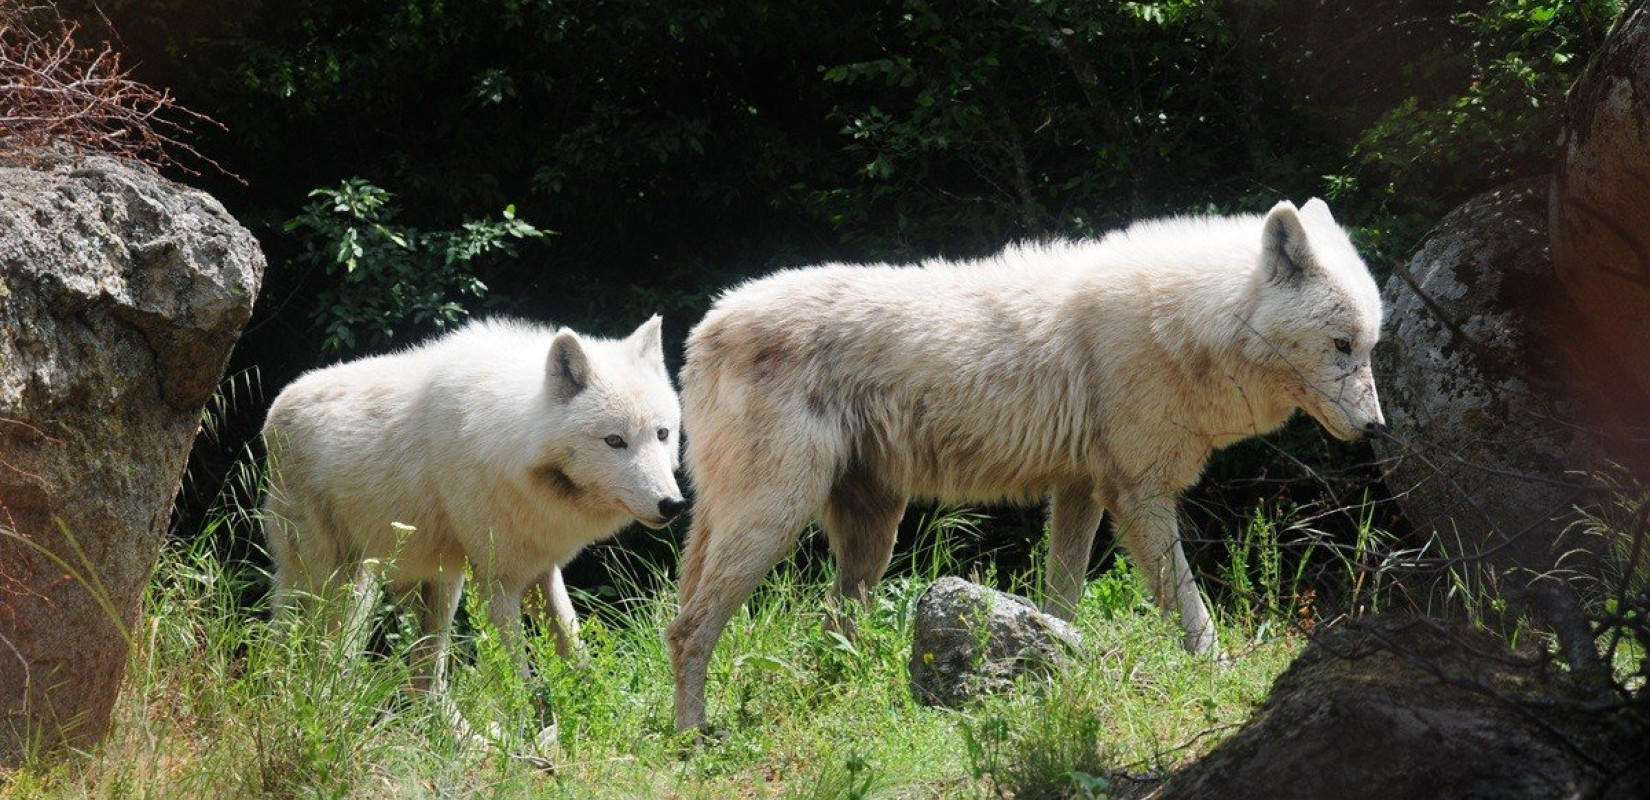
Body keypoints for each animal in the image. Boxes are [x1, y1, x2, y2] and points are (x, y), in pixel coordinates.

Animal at [262, 315, 683, 689]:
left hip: (432, 585)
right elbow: (517, 682)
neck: (509, 440)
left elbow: (577, 655)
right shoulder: (497, 583)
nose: (672, 504)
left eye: (662, 434)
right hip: (335, 584)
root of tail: (276, 406)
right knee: (305, 650)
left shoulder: (541, 570)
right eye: (615, 441)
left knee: (423, 681)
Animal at [663, 194, 1386, 729]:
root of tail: (704, 330)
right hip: (778, 518)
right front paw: (1220, 677)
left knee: (827, 628)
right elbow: (1191, 608)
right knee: (687, 628)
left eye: (1370, 345)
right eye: (1341, 345)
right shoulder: (1141, 495)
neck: (1192, 320)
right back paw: (695, 734)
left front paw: (1057, 664)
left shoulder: (1081, 493)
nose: (1378, 427)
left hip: (869, 533)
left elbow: (1062, 599)